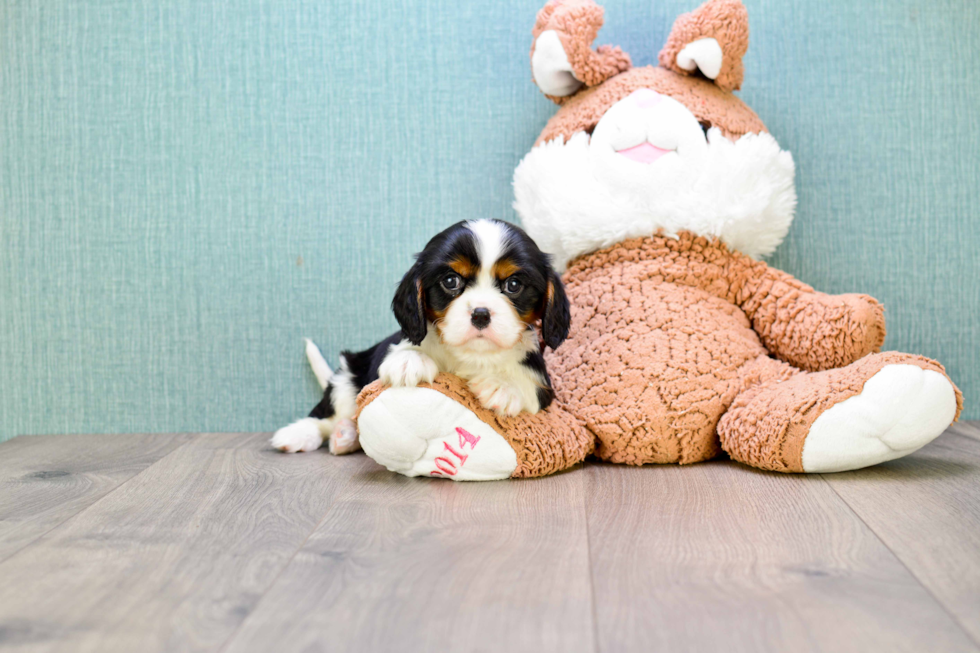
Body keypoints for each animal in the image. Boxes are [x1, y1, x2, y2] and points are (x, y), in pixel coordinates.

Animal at [272, 219, 572, 454]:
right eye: (450, 281)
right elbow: (402, 352)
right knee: (327, 415)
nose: (480, 314)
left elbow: (529, 387)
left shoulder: (543, 387)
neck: (470, 357)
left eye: (514, 284)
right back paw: (303, 434)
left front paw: (504, 386)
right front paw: (410, 361)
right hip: (347, 377)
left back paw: (344, 437)